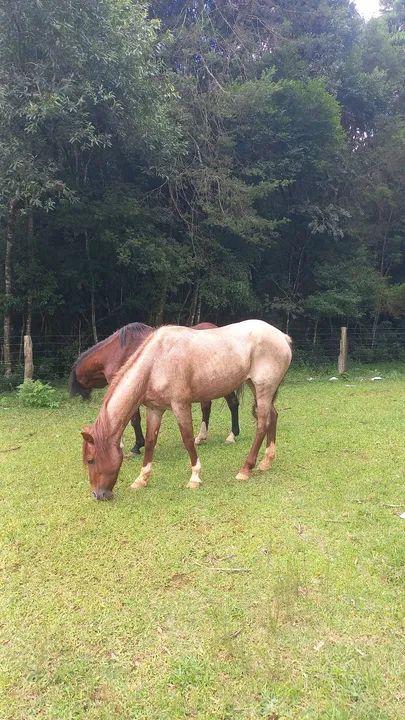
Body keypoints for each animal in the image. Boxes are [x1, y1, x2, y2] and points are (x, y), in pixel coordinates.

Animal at [69, 322, 241, 453]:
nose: (84, 398)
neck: (116, 353)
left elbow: (134, 420)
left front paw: (137, 445)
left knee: (232, 403)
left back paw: (232, 435)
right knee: (207, 407)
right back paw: (201, 437)